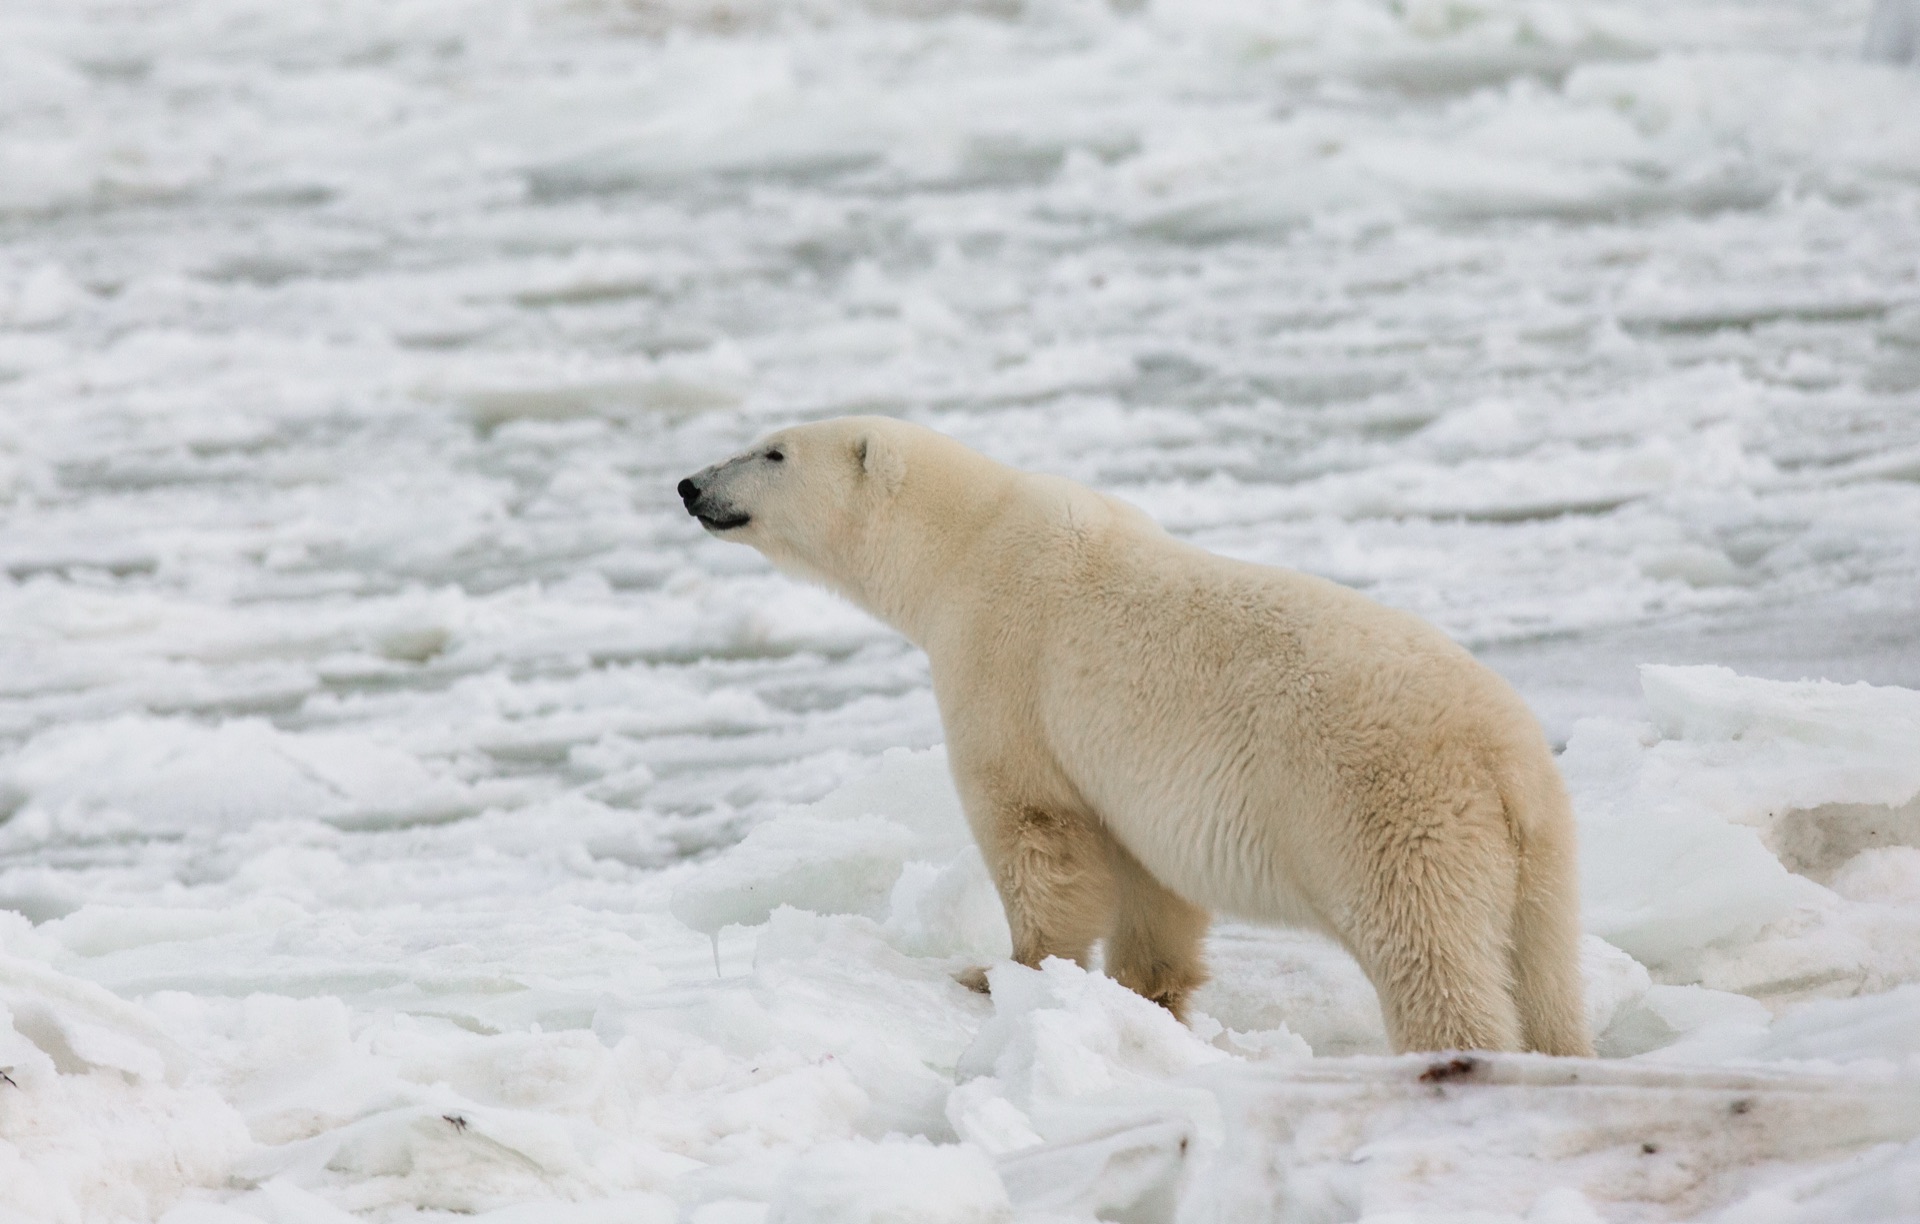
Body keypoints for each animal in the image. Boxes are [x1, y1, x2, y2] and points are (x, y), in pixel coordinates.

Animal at [678, 416, 1592, 1056]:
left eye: (772, 453)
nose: (688, 484)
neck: (966, 544)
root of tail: (1506, 764)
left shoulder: (1004, 664)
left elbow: (1034, 831)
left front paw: (998, 973)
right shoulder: (1136, 782)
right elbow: (1152, 882)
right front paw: (1144, 998)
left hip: (1389, 815)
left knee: (1429, 957)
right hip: (1540, 854)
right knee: (1540, 965)